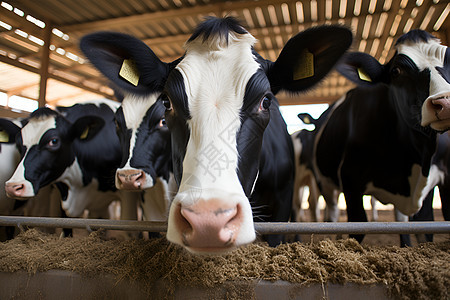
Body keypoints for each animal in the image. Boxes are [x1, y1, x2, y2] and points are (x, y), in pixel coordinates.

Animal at [312, 29, 450, 243]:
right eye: (396, 71)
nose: (445, 102)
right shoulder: (350, 180)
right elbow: (358, 227)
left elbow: (425, 228)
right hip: (325, 181)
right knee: (333, 215)